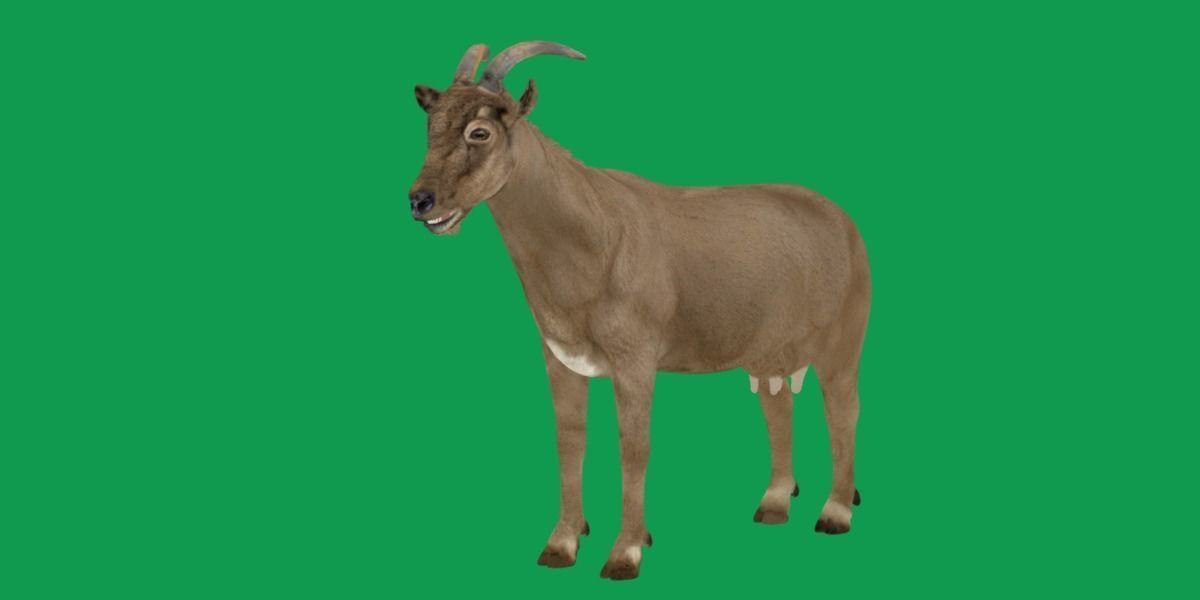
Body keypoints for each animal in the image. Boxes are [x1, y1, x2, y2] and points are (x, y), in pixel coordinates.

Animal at [408, 41, 870, 580]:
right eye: (430, 125)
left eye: (479, 132)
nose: (421, 201)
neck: (595, 234)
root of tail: (844, 222)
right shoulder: (561, 356)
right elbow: (570, 441)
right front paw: (561, 545)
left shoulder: (635, 359)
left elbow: (634, 447)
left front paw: (625, 552)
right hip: (769, 351)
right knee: (777, 403)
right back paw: (774, 503)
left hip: (843, 338)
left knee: (843, 409)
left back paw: (835, 512)